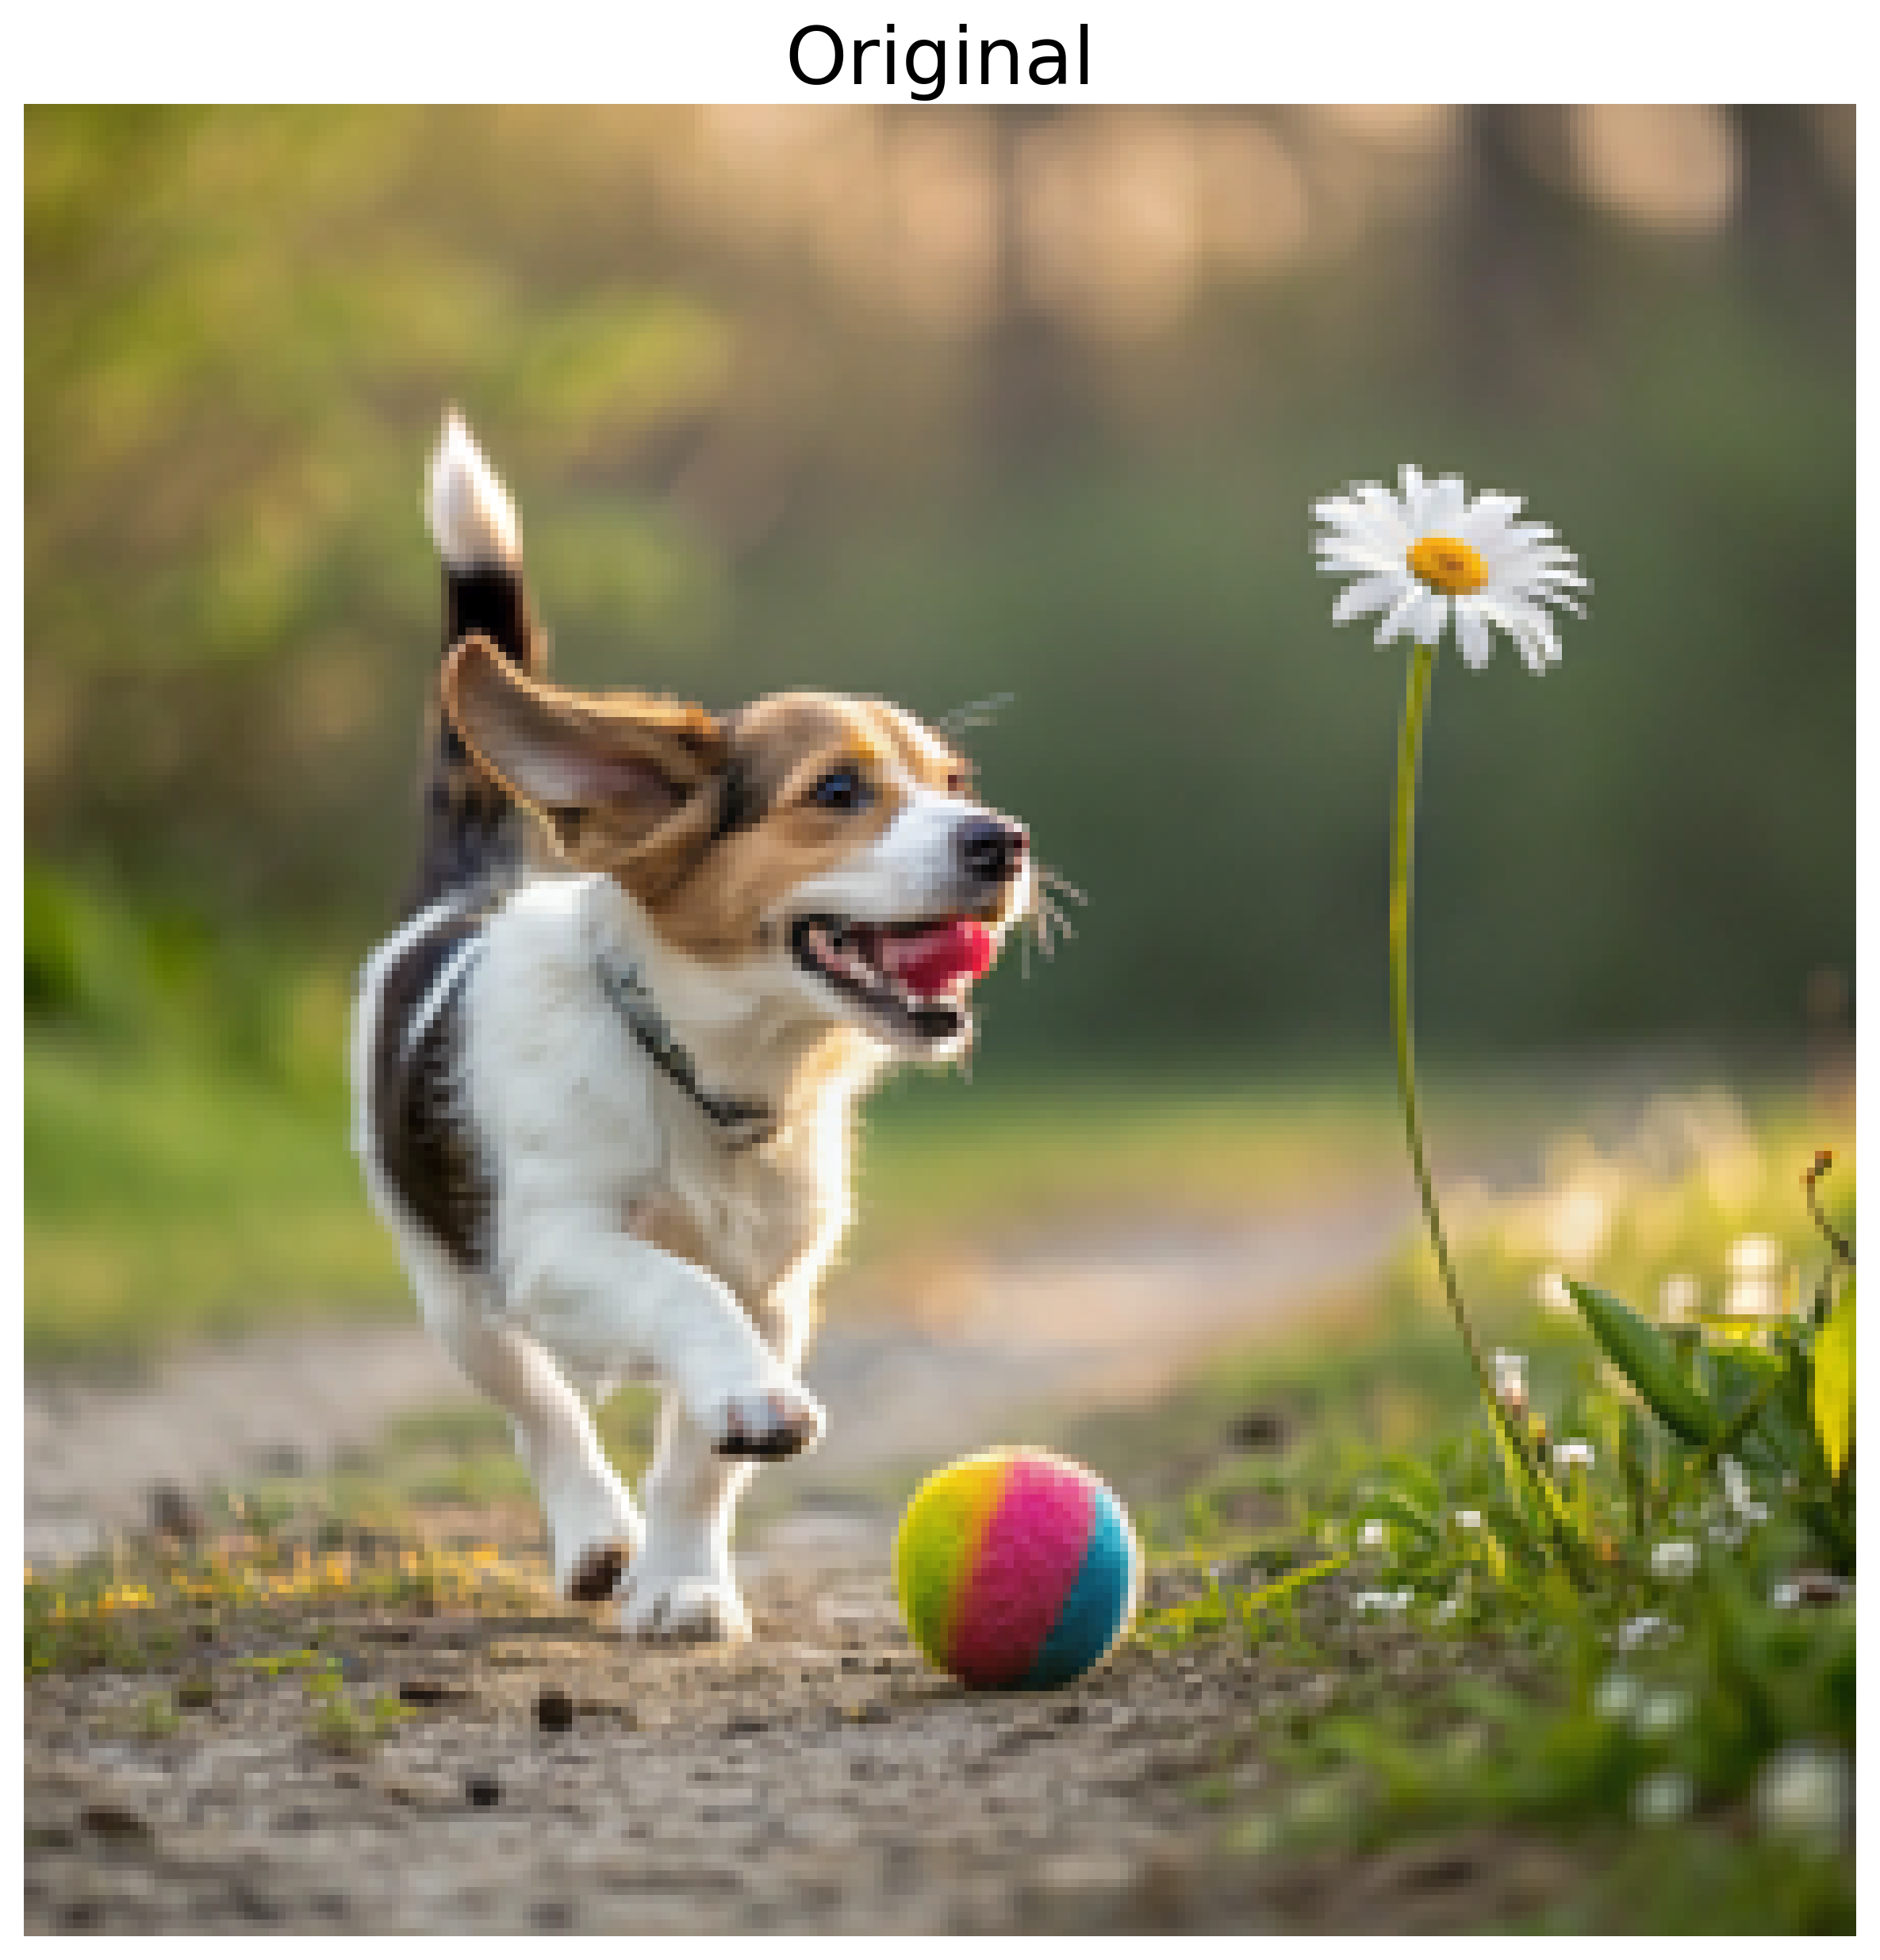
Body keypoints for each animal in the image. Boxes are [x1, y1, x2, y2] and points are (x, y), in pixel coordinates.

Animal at [344, 413, 1034, 1638]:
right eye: (839, 791)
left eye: (956, 781)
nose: (1004, 841)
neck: (710, 1070)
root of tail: (475, 883)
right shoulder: (561, 1245)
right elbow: (680, 1290)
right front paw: (734, 1419)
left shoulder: (780, 1287)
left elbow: (700, 1459)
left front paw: (684, 1581)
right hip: (458, 1294)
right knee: (541, 1407)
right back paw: (591, 1533)